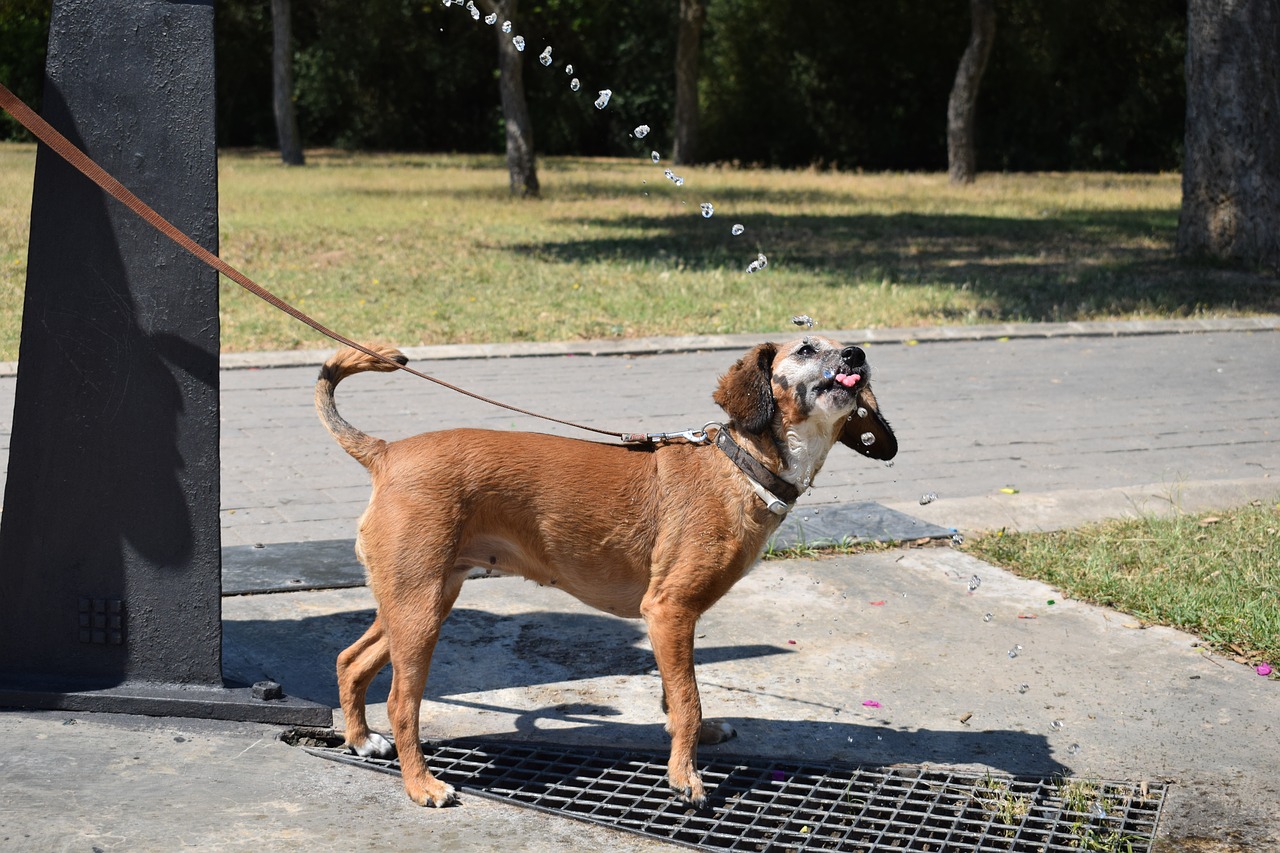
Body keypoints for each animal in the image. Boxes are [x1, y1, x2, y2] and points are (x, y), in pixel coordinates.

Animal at [314, 333, 896, 804]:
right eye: (806, 349)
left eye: (847, 346)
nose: (857, 355)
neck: (742, 464)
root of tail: (387, 453)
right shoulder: (668, 610)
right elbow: (689, 701)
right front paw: (685, 778)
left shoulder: (673, 623)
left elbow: (677, 696)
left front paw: (692, 744)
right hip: (418, 610)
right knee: (401, 702)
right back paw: (421, 785)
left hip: (420, 601)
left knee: (349, 660)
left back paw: (360, 739)